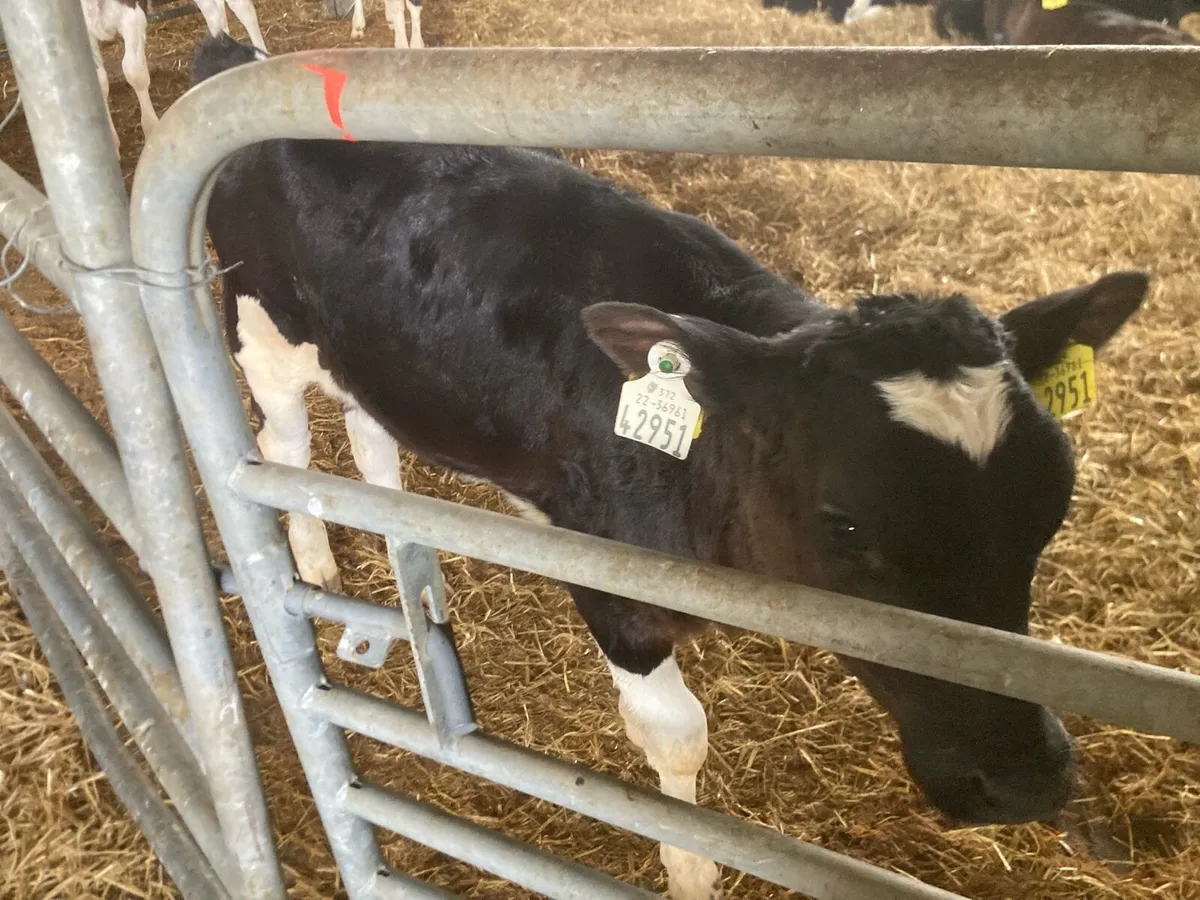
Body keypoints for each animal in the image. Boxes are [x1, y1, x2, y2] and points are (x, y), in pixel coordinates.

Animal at [192, 32, 1149, 900]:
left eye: (1052, 505)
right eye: (847, 526)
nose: (1024, 777)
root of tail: (240, 57)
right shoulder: (614, 586)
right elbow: (677, 737)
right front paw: (691, 870)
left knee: (371, 443)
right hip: (261, 329)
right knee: (282, 446)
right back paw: (311, 560)